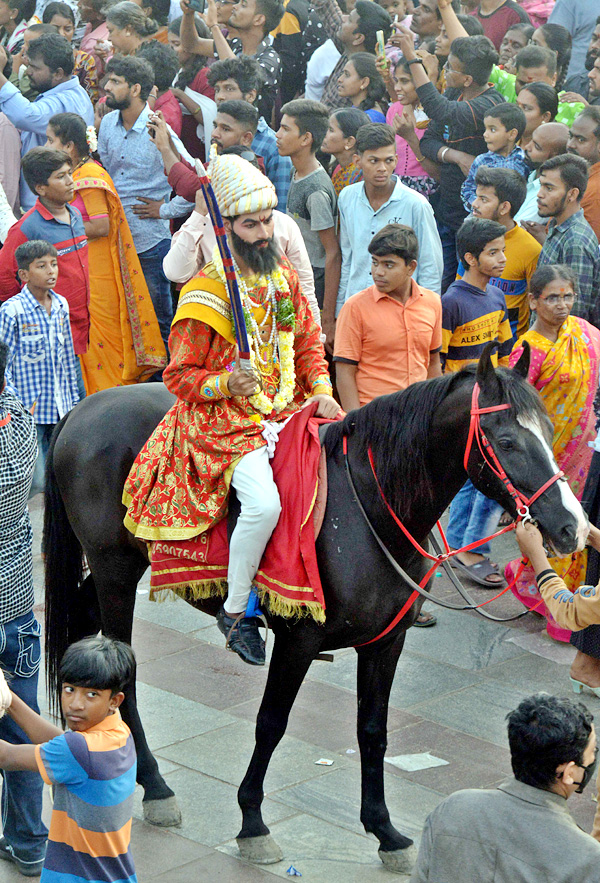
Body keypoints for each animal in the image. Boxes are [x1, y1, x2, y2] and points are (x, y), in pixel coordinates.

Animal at [42, 346, 584, 872]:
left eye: (548, 431)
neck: (371, 507)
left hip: (113, 571)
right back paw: (155, 786)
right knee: (124, 677)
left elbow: (373, 731)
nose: (571, 527)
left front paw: (384, 831)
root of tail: (83, 408)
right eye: (508, 442)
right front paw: (253, 823)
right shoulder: (299, 641)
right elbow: (271, 723)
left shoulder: (387, 641)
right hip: (115, 569)